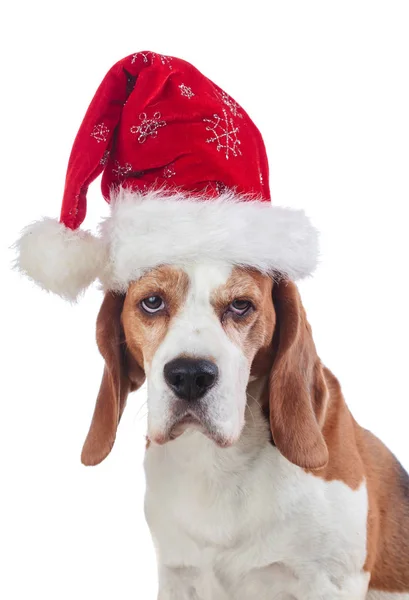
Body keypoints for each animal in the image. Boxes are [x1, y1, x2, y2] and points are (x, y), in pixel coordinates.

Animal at [80, 264, 408, 596]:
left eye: (240, 305)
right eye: (152, 302)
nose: (190, 376)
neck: (218, 464)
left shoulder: (330, 583)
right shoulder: (177, 574)